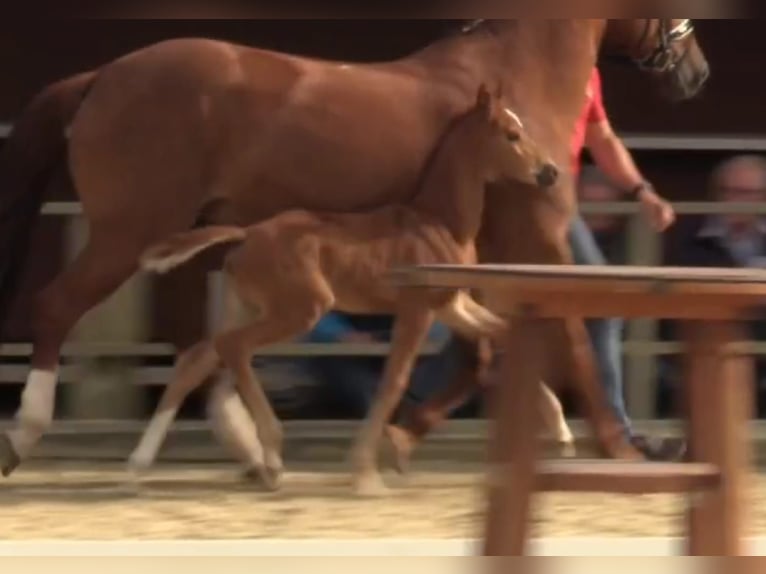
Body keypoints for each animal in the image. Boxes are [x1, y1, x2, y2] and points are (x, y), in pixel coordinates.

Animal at [130, 84, 564, 496]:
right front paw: (366, 474)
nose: (550, 172)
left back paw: (139, 465)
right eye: (511, 134)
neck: (439, 222)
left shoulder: (451, 306)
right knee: (233, 347)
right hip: (302, 309)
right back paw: (271, 458)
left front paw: (560, 430)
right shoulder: (417, 311)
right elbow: (393, 382)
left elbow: (505, 334)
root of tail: (247, 233)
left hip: (247, 307)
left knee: (197, 359)